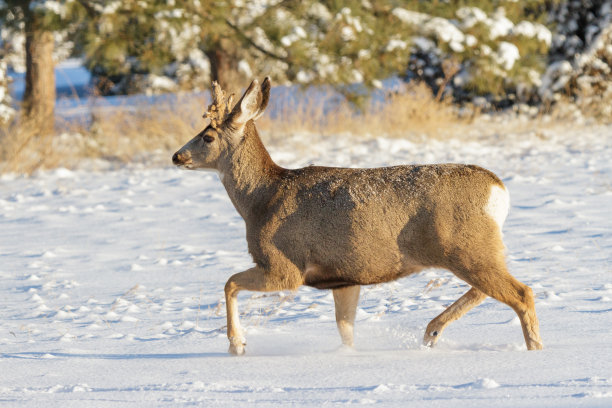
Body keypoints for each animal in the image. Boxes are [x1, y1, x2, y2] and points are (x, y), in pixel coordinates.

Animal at [171, 78, 540, 356]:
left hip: (465, 247)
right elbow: (345, 330)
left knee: (521, 293)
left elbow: (229, 282)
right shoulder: (345, 277)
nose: (177, 156)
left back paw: (533, 350)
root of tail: (498, 190)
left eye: (207, 136)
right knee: (490, 290)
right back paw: (431, 332)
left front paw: (237, 345)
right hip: (476, 249)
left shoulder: (285, 266)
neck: (261, 200)